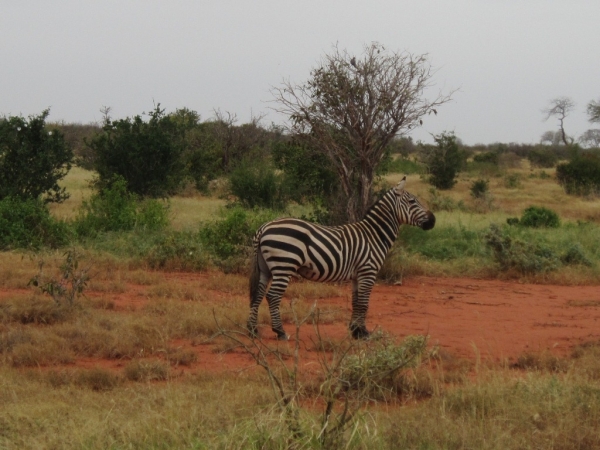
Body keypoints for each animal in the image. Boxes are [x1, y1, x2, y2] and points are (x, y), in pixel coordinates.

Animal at [246, 178, 434, 340]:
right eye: (412, 202)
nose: (433, 220)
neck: (374, 235)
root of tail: (264, 227)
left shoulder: (358, 275)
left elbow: (356, 301)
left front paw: (356, 331)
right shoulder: (368, 271)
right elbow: (364, 303)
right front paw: (363, 333)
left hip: (265, 268)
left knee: (258, 294)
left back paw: (252, 330)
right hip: (284, 266)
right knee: (272, 296)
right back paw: (280, 332)